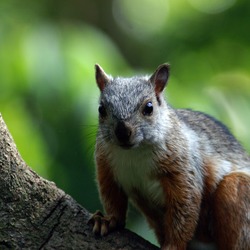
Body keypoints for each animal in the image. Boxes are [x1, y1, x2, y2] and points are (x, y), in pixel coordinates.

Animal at [88, 64, 250, 250]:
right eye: (101, 109)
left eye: (149, 107)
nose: (122, 132)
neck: (134, 153)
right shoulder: (106, 166)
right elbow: (112, 197)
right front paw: (108, 220)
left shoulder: (183, 167)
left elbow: (184, 208)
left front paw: (172, 245)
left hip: (238, 194)